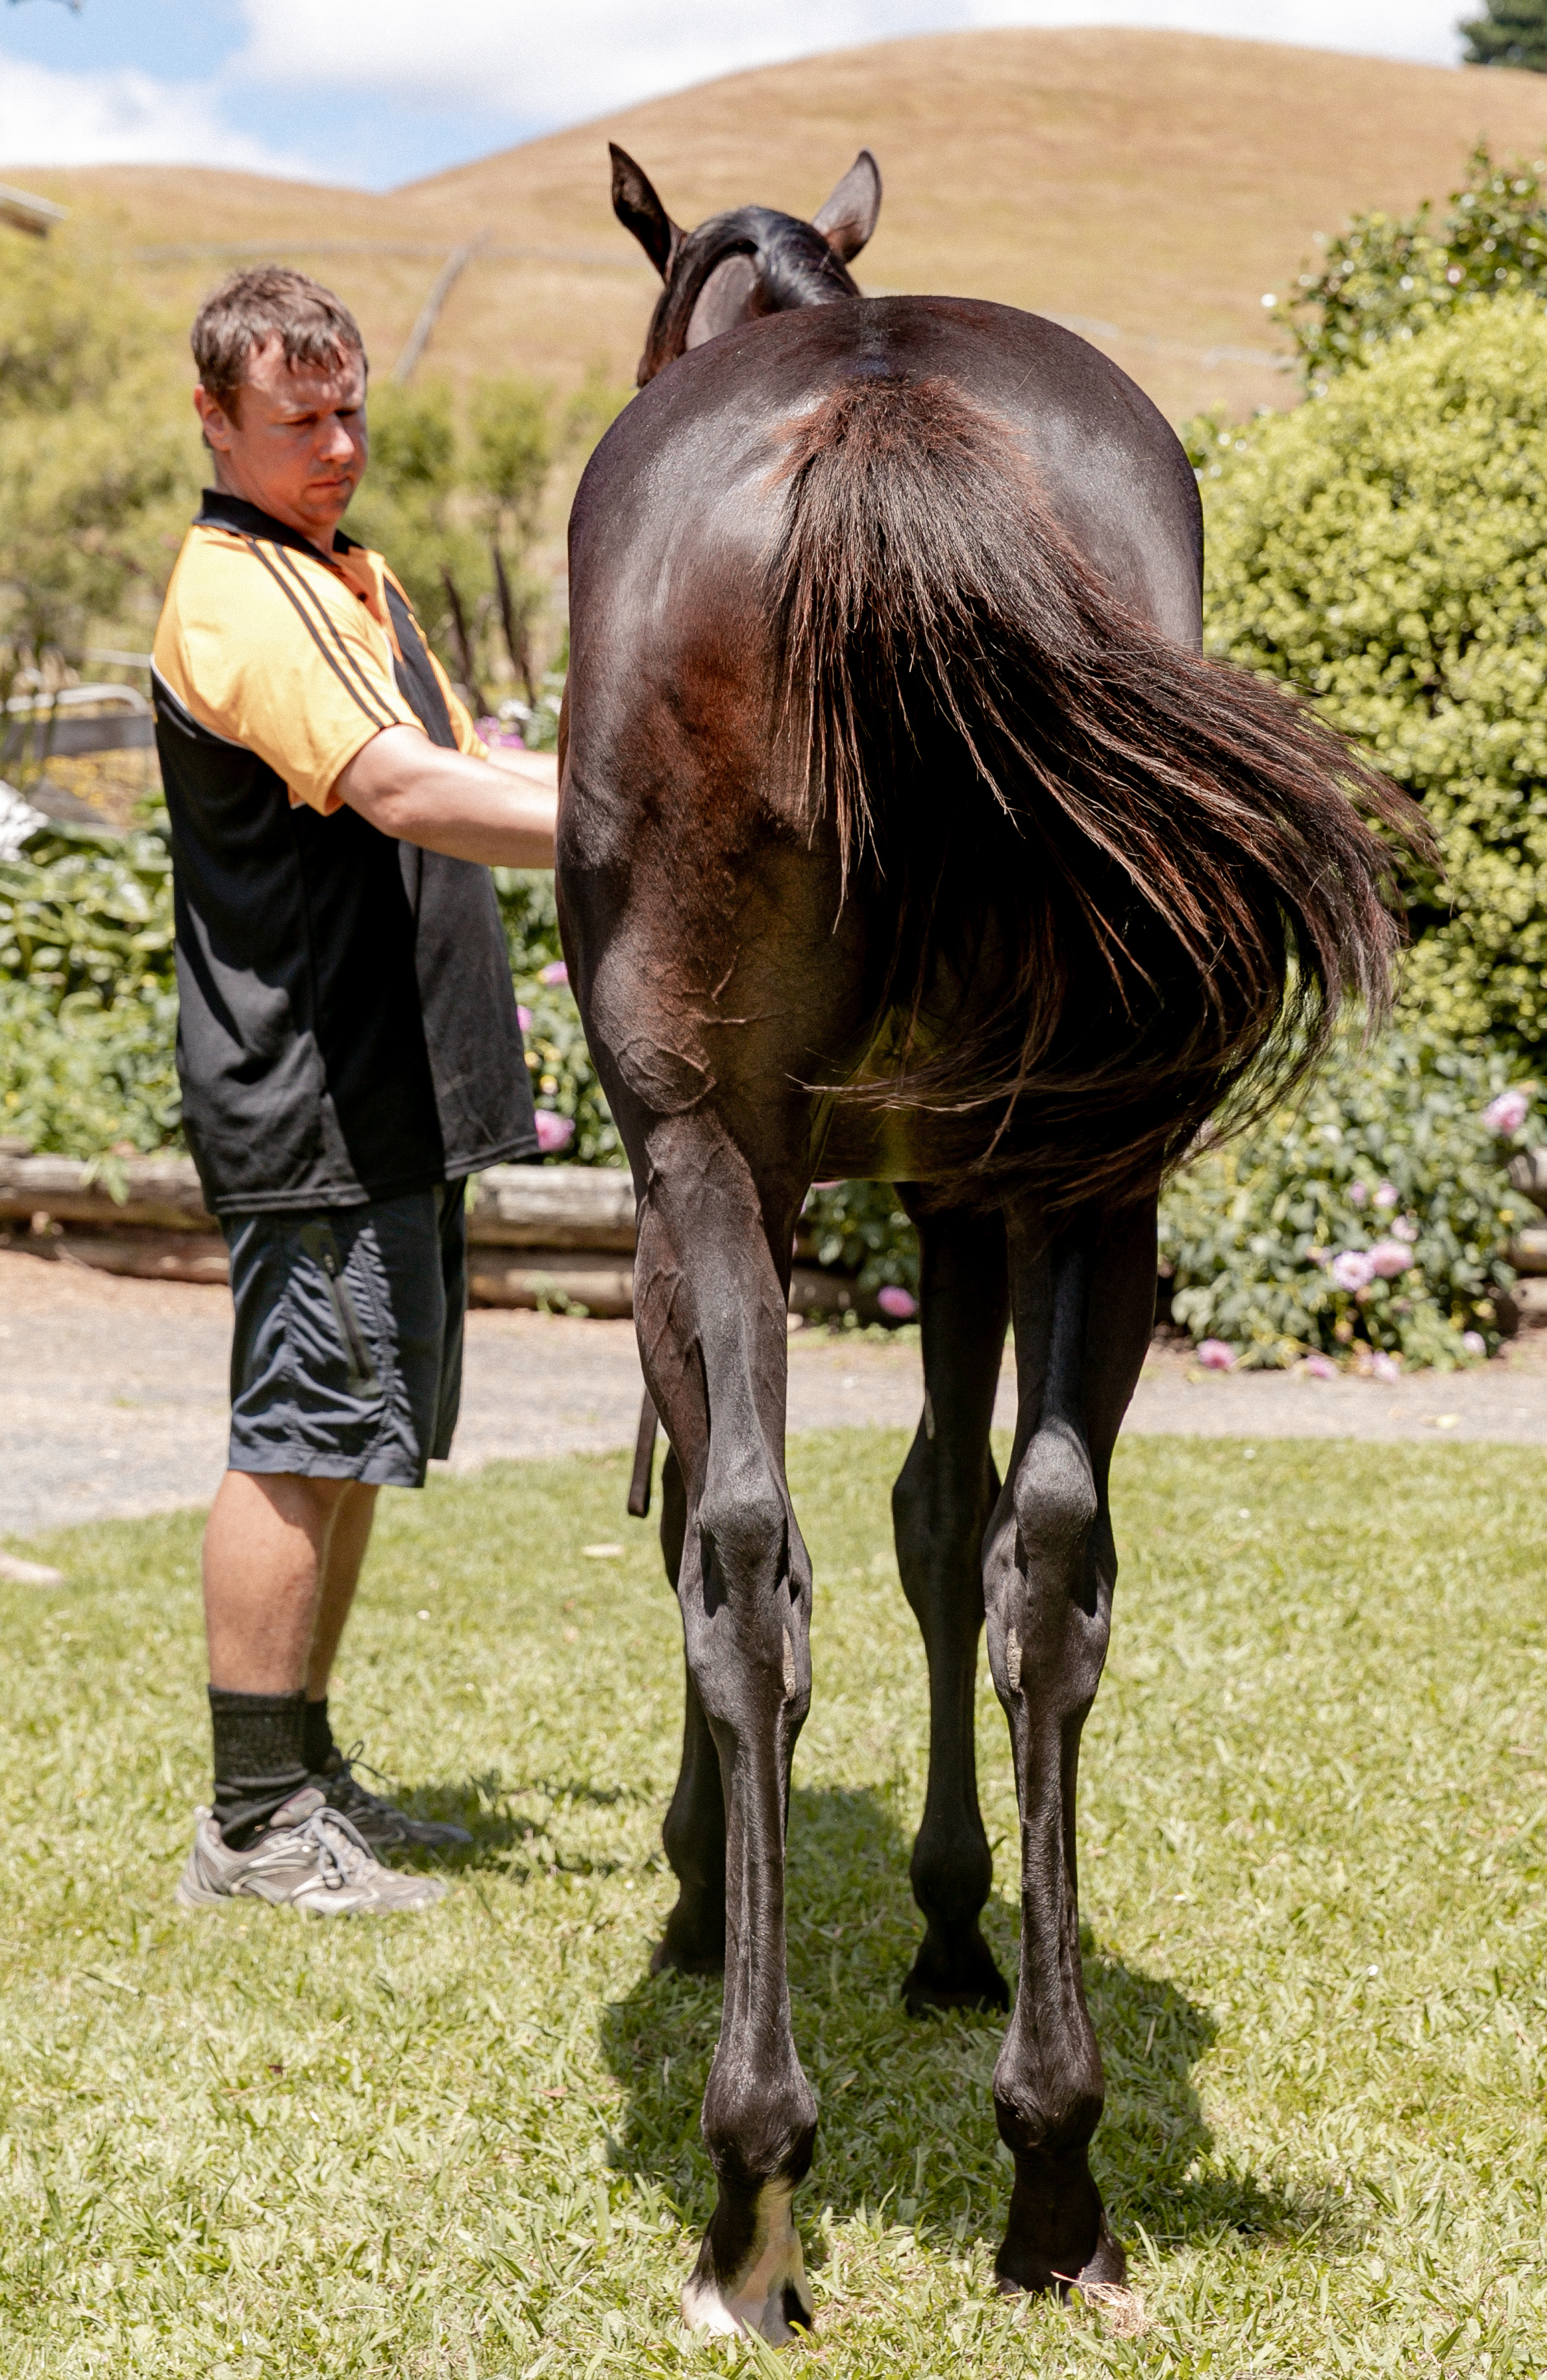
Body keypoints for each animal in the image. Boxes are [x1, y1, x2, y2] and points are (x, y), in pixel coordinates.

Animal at [556, 143, 1421, 2342]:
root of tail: (878, 399)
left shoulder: (761, 1191)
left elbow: (776, 1533)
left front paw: (705, 1886)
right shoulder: (962, 1189)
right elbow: (950, 1525)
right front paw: (950, 1927)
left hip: (719, 1160)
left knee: (746, 1559)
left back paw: (752, 2188)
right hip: (1085, 1182)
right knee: (1047, 1565)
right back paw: (1052, 2166)